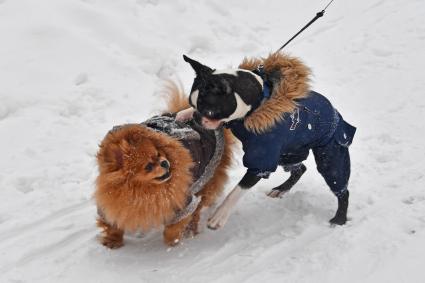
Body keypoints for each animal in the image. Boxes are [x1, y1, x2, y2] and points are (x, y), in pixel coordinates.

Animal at [94, 84, 232, 248]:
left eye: (159, 154)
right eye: (148, 166)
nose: (165, 162)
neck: (144, 191)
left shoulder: (182, 202)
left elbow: (173, 228)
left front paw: (173, 242)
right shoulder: (111, 204)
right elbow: (112, 222)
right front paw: (113, 240)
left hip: (206, 179)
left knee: (198, 208)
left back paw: (191, 229)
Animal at [177, 53, 356, 231]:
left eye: (209, 112)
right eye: (192, 104)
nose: (197, 117)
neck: (257, 102)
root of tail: (335, 113)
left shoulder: (260, 163)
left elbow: (237, 190)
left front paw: (219, 216)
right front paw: (184, 113)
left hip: (330, 154)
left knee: (341, 187)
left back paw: (339, 219)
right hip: (288, 153)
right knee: (300, 168)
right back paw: (281, 189)